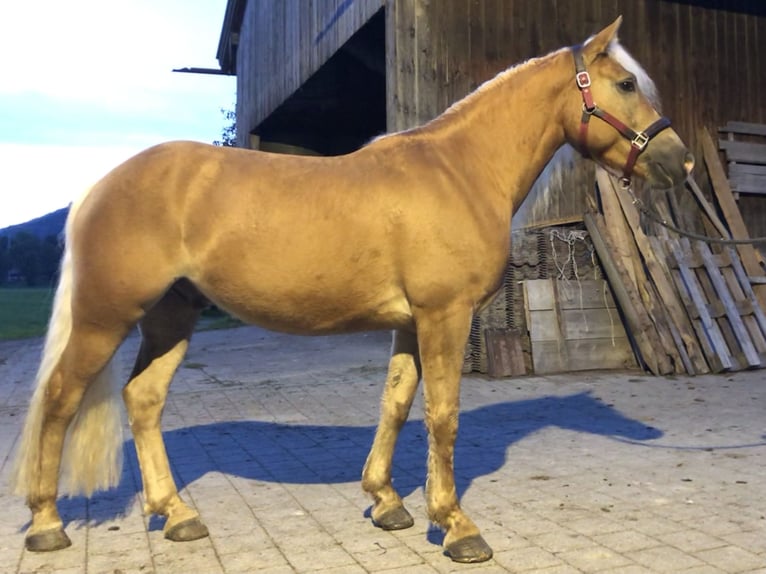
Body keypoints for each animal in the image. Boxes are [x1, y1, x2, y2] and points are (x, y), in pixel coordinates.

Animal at [12, 17, 692, 563]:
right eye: (625, 85)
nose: (679, 162)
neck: (460, 169)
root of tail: (102, 183)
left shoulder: (411, 321)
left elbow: (396, 403)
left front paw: (388, 502)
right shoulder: (445, 315)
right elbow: (442, 415)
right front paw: (457, 526)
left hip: (171, 317)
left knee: (143, 399)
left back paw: (178, 516)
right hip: (105, 317)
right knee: (60, 399)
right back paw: (46, 523)